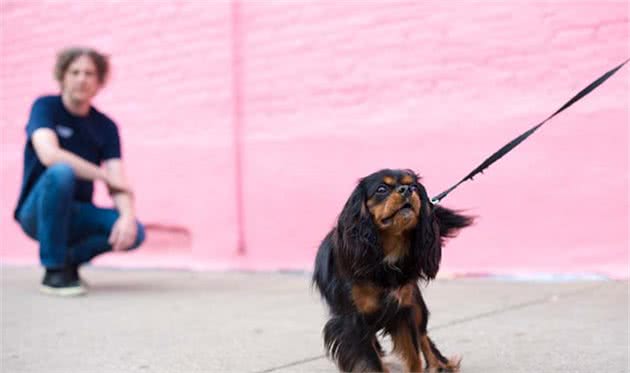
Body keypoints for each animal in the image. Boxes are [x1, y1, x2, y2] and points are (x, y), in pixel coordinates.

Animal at [314, 169, 472, 372]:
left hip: (416, 304)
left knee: (422, 334)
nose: (406, 190)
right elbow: (372, 363)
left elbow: (414, 357)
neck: (385, 254)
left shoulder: (403, 310)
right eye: (381, 189)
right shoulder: (353, 322)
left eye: (414, 187)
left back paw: (440, 365)